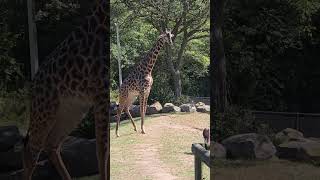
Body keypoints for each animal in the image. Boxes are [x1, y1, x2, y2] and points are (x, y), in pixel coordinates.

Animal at [22, 0, 110, 179]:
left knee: (51, 144)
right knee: (31, 151)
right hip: (44, 110)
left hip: (72, 109)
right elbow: (102, 150)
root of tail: (34, 83)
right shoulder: (101, 90)